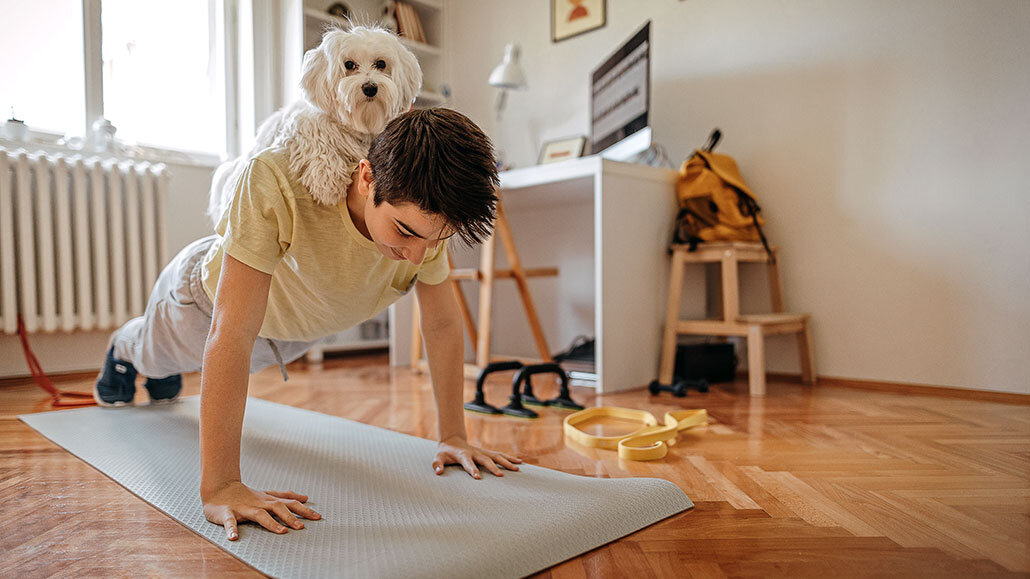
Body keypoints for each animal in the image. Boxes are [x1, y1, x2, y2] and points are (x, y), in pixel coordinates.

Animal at [208, 26, 422, 225]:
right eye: (349, 64)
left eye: (381, 64)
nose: (370, 88)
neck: (359, 125)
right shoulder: (299, 125)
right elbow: (315, 139)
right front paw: (329, 182)